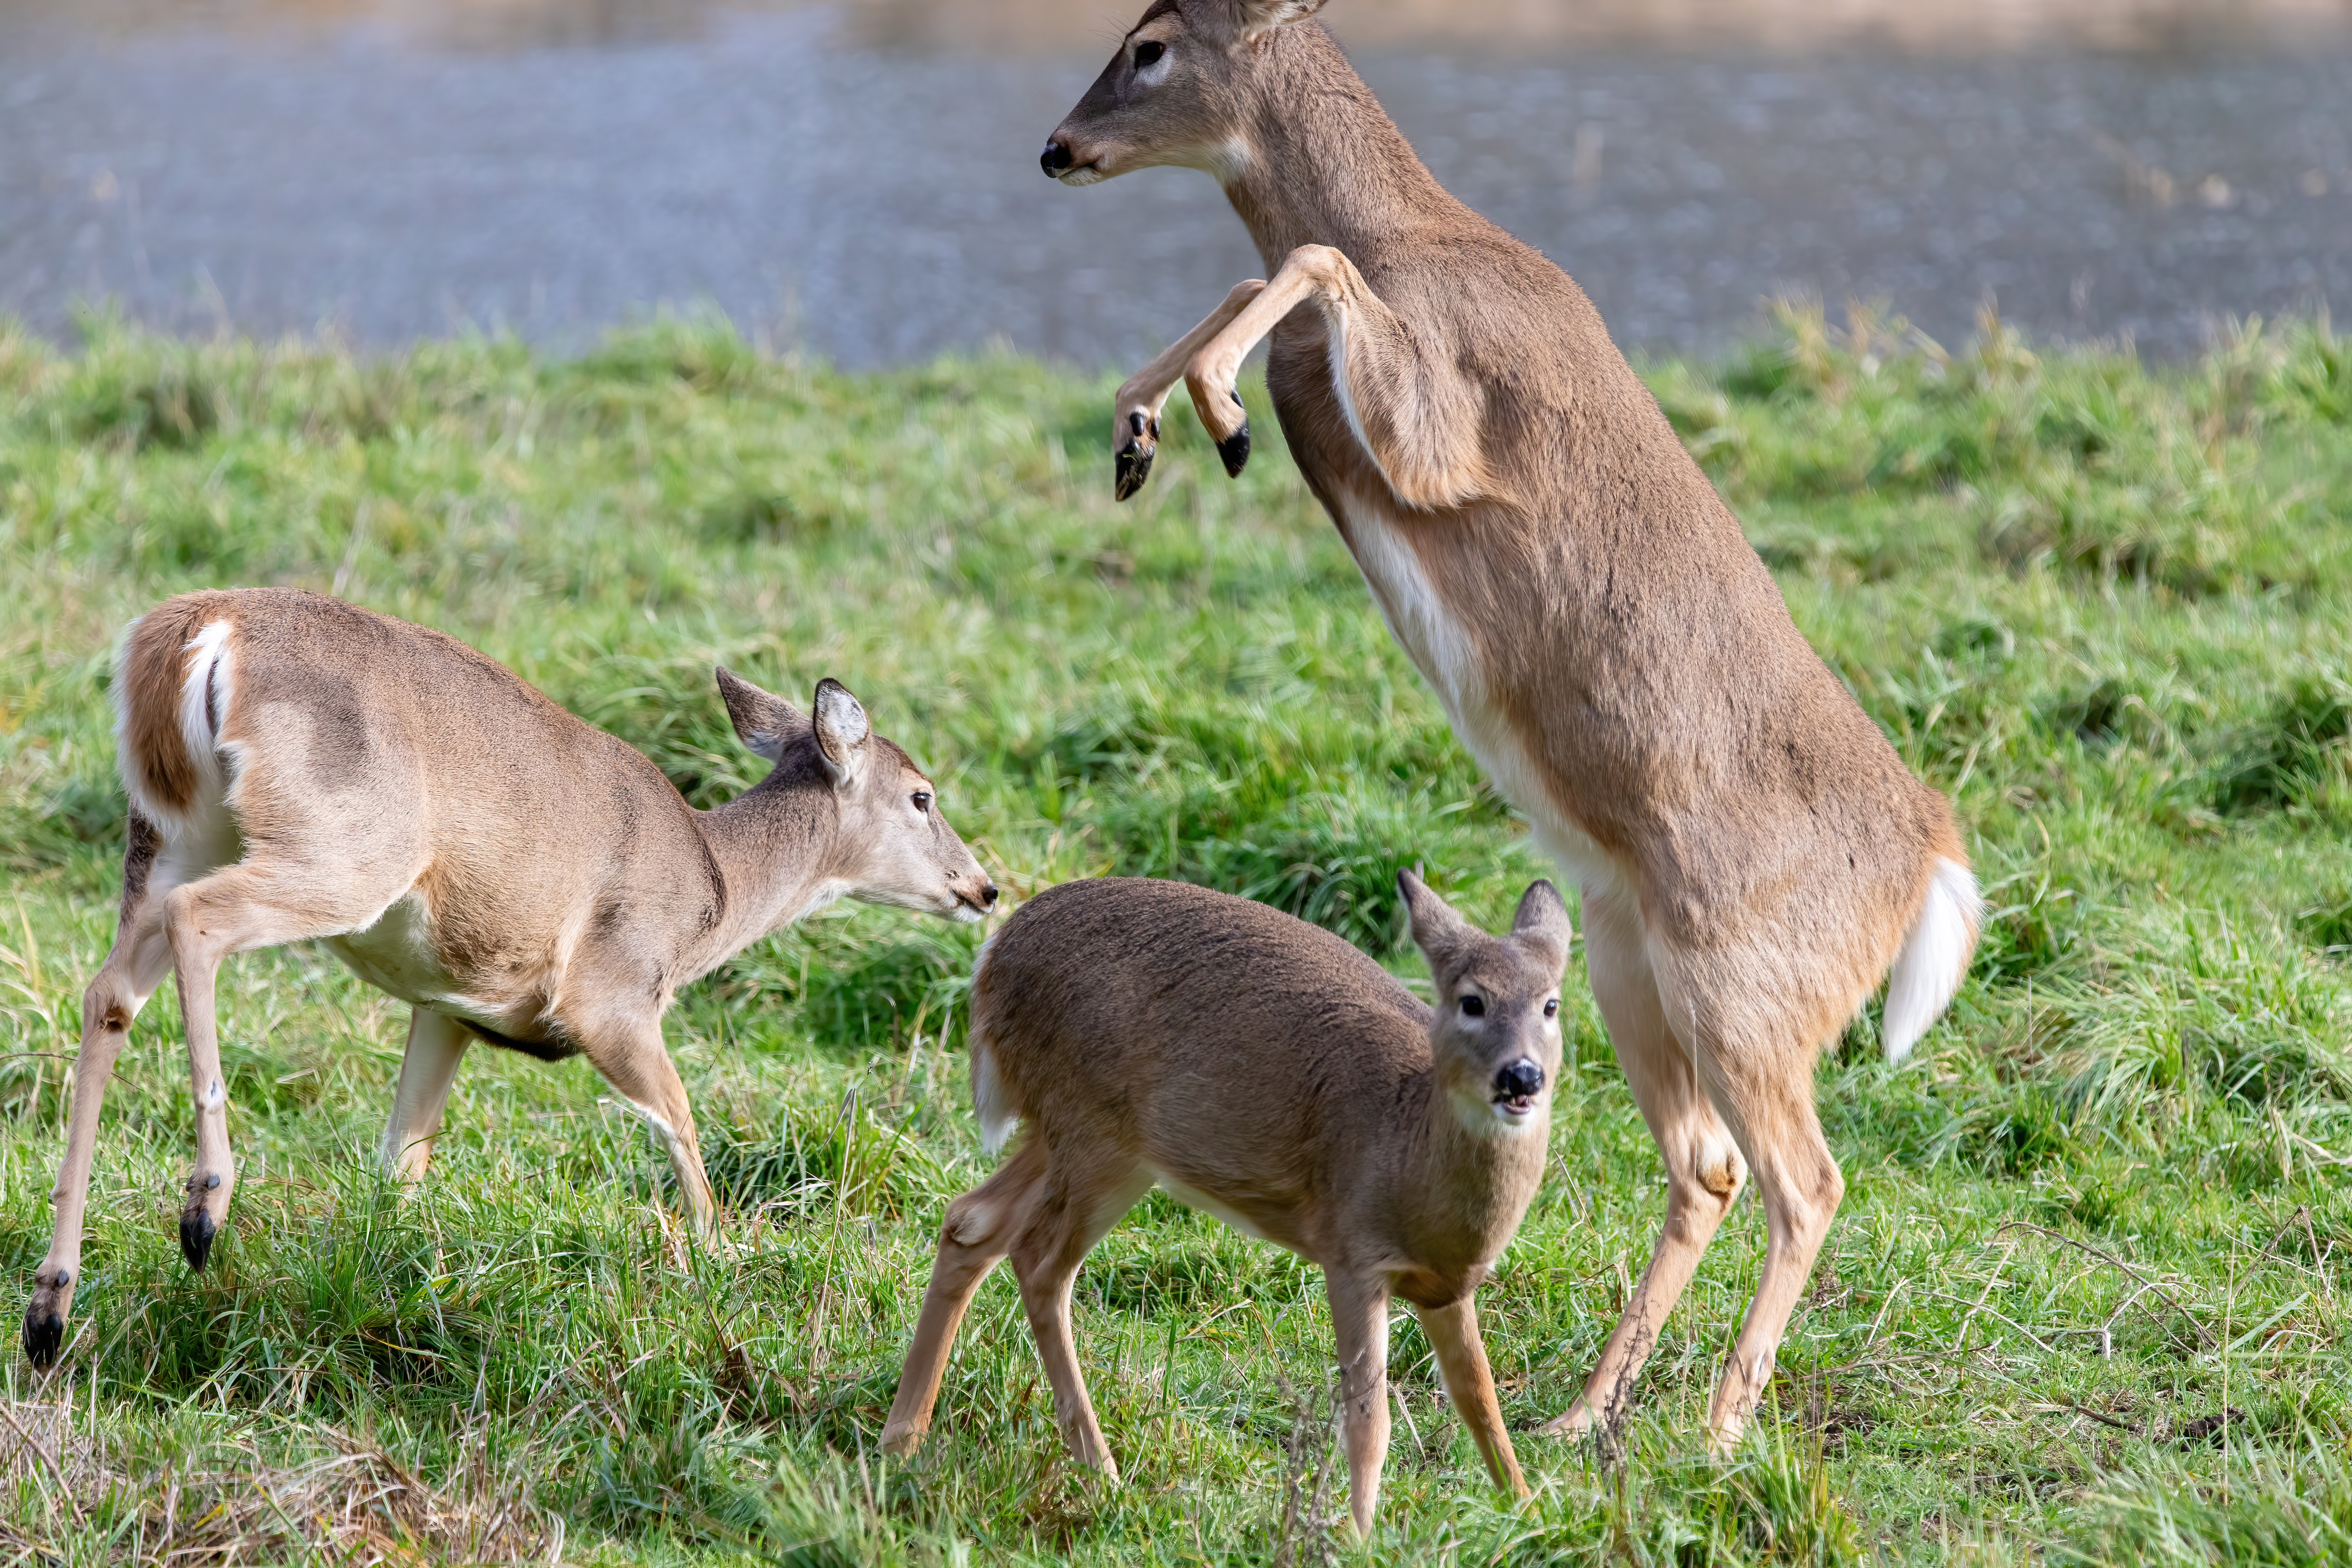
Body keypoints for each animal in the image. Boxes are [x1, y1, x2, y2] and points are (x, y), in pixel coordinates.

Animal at [23, 586, 996, 1368]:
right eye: (921, 795)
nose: (983, 887)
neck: (711, 892)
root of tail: (200, 630)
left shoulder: (448, 1004)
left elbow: (401, 1161)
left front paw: (387, 1283)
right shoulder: (613, 994)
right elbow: (684, 1126)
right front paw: (722, 1266)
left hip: (168, 836)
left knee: (107, 991)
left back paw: (49, 1307)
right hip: (341, 852)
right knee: (200, 924)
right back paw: (203, 1209)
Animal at [881, 871, 1570, 1534]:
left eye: (1551, 1004)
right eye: (1472, 1001)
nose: (1521, 1076)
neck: (1409, 1148)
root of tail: (994, 955)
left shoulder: (1448, 1287)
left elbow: (1480, 1397)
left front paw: (1527, 1509)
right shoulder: (1351, 1253)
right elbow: (1370, 1420)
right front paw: (1357, 1535)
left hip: (1064, 1136)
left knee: (971, 1221)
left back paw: (903, 1439)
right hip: (1098, 1131)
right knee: (1039, 1260)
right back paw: (1102, 1472)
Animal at [1040, 0, 1982, 1451]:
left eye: (1149, 46)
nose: (1057, 148)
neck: (1424, 234)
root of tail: (1934, 854)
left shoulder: (1443, 422)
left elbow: (1304, 263)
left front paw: (1211, 408)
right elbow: (1254, 287)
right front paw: (1155, 423)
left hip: (1746, 982)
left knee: (1808, 1180)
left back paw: (1717, 1429)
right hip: (1630, 965)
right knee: (1710, 1168)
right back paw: (1584, 1416)